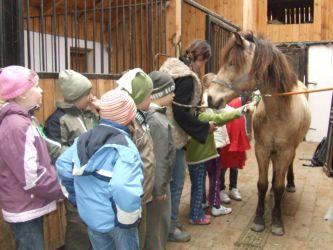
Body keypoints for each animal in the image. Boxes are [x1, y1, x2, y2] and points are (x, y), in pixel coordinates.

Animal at [206, 31, 310, 236]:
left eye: (232, 63)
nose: (210, 98)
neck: (278, 112)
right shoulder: (262, 149)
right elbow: (262, 184)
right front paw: (259, 220)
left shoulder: (285, 151)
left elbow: (278, 185)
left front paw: (277, 222)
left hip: (291, 149)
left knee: (289, 166)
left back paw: (291, 184)